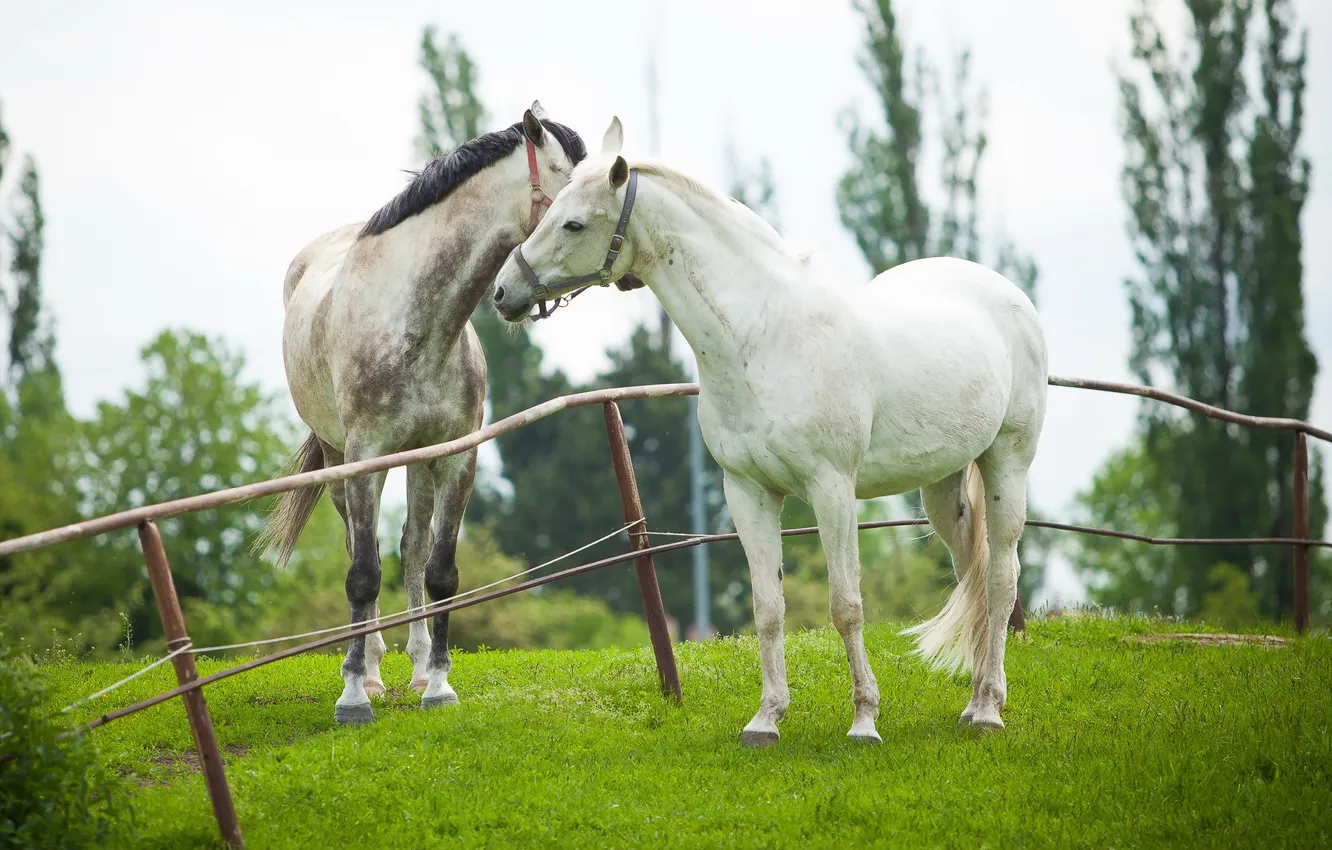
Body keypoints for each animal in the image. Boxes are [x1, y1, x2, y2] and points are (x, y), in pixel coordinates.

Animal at [257, 101, 591, 724]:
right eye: (571, 197)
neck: (414, 320)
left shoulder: (456, 459)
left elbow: (439, 571)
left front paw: (438, 684)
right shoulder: (364, 458)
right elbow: (363, 576)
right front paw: (353, 696)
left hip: (417, 460)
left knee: (411, 547)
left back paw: (411, 669)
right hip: (339, 461)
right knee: (359, 549)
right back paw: (370, 669)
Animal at [492, 119, 1049, 746]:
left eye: (574, 223)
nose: (503, 292)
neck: (763, 335)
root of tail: (1006, 294)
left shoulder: (833, 490)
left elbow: (846, 605)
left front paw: (864, 720)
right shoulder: (748, 492)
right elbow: (768, 608)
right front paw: (766, 719)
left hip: (1008, 465)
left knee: (1000, 579)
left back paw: (989, 709)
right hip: (942, 487)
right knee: (969, 577)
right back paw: (974, 701)